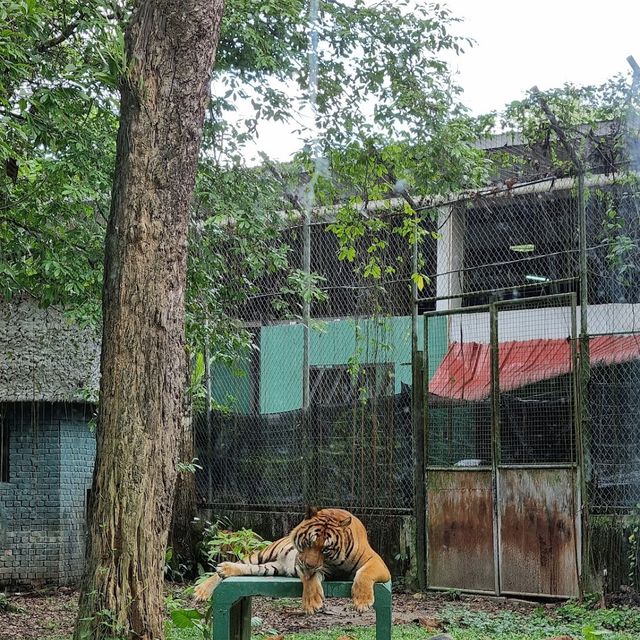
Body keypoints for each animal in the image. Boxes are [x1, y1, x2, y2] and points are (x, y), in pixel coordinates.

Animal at [192, 508, 390, 612]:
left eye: (325, 549)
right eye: (309, 542)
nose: (309, 563)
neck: (335, 561)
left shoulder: (377, 561)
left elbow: (364, 574)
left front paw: (362, 601)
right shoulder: (304, 564)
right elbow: (310, 579)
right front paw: (312, 603)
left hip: (269, 567)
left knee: (247, 568)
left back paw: (225, 569)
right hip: (263, 554)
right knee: (237, 565)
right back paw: (202, 590)